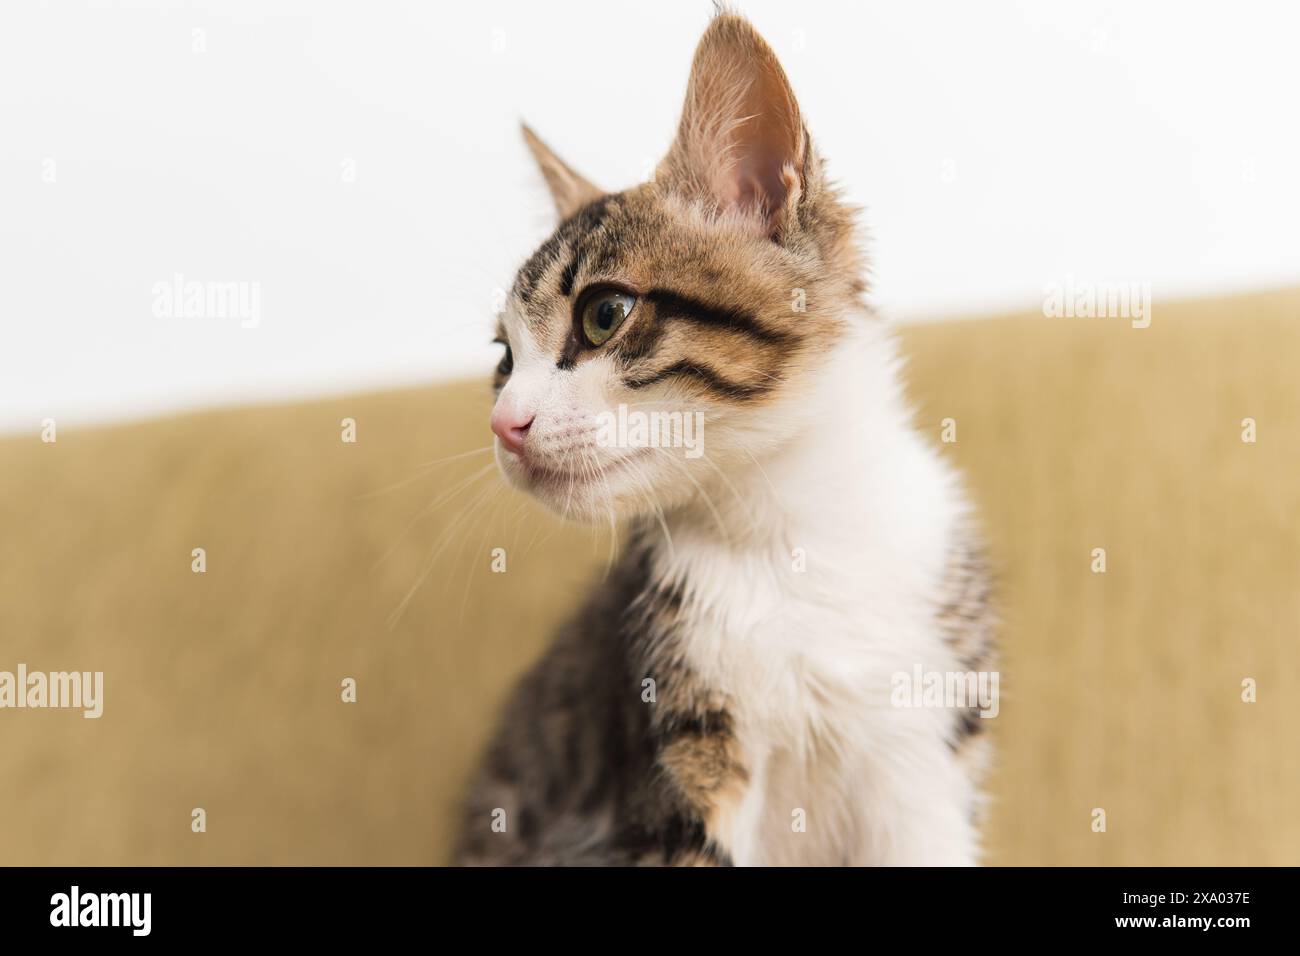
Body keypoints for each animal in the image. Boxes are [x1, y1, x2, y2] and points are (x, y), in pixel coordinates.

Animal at [457, 13, 993, 868]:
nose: (505, 424)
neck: (790, 535)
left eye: (604, 314)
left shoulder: (923, 760)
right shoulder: (673, 766)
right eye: (505, 359)